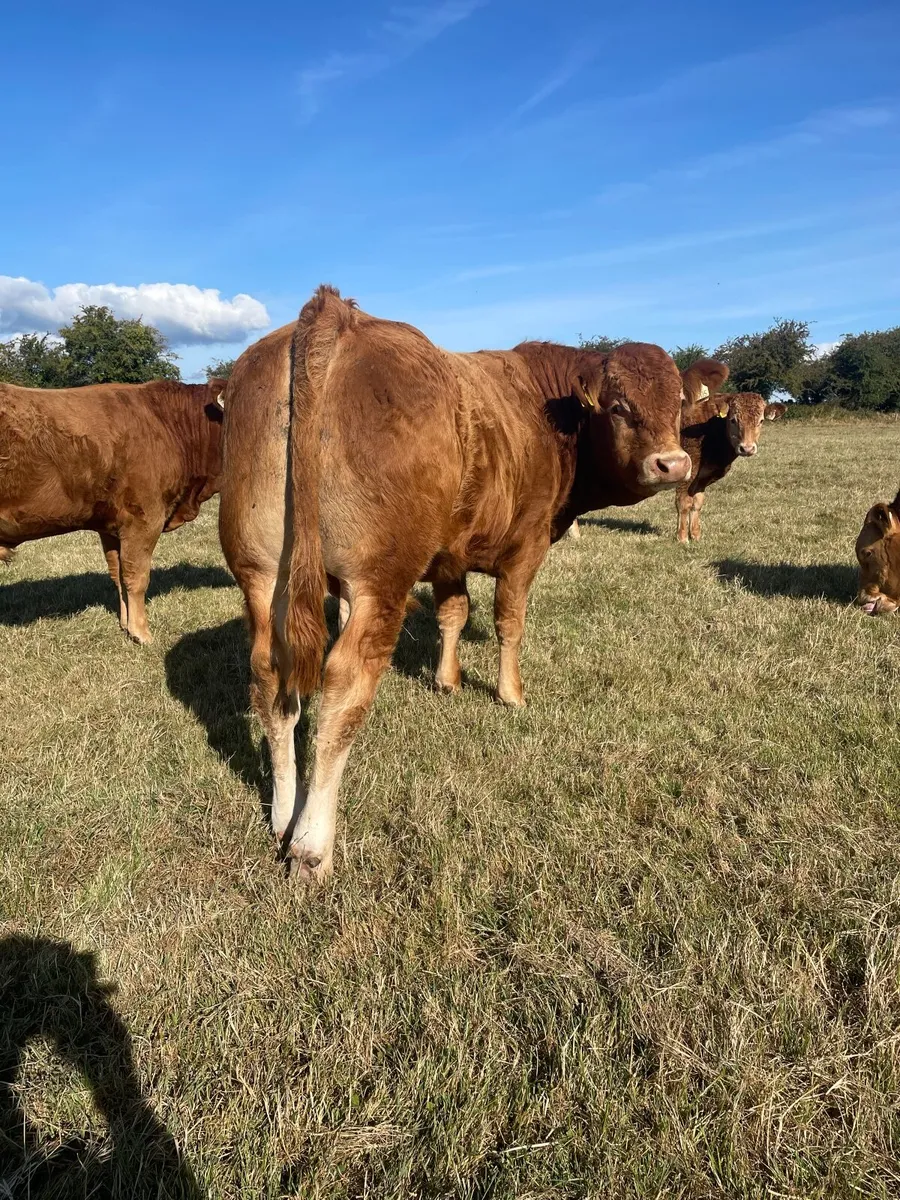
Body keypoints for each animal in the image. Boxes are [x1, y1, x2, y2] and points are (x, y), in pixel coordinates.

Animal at [0, 378, 226, 642]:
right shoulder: (145, 518)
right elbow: (137, 576)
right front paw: (141, 632)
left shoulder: (111, 527)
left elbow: (118, 575)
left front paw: (125, 624)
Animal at [218, 284, 692, 882]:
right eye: (619, 407)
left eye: (679, 404)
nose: (673, 464)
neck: (547, 412)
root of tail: (337, 314)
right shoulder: (526, 546)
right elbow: (509, 621)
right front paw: (511, 694)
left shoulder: (446, 557)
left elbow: (453, 612)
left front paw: (447, 680)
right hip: (381, 578)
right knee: (344, 686)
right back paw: (310, 844)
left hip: (262, 574)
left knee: (269, 673)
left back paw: (283, 815)